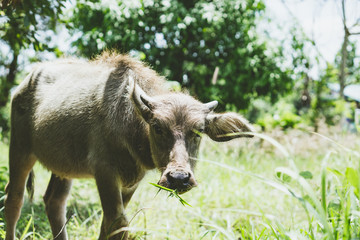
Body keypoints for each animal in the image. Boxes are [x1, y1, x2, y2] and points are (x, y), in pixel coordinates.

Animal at [4, 53, 253, 240]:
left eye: (198, 131)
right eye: (157, 127)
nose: (178, 178)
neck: (129, 127)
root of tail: (24, 83)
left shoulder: (132, 182)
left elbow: (110, 226)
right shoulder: (104, 172)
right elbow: (118, 222)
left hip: (64, 167)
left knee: (54, 201)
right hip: (19, 150)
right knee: (14, 200)